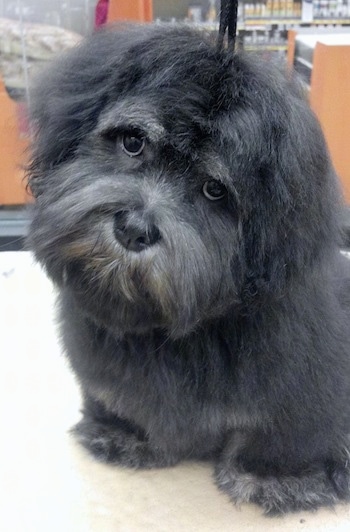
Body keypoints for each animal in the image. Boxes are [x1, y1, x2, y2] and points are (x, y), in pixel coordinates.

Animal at [26, 22, 350, 512]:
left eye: (214, 190)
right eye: (133, 142)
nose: (134, 228)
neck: (178, 332)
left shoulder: (302, 377)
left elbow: (286, 428)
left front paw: (275, 476)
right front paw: (125, 432)